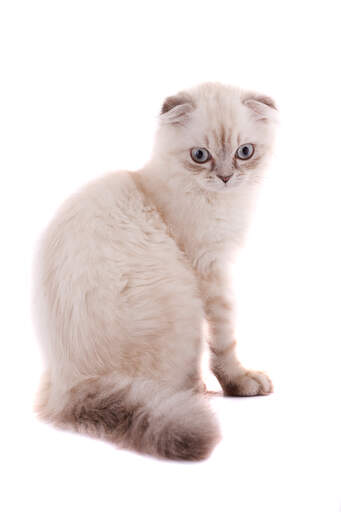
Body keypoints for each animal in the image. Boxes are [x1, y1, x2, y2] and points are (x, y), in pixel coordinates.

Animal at [32, 83, 276, 460]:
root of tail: (71, 387)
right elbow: (225, 342)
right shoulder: (210, 269)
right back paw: (198, 390)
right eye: (200, 155)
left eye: (244, 152)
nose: (225, 177)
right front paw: (241, 382)